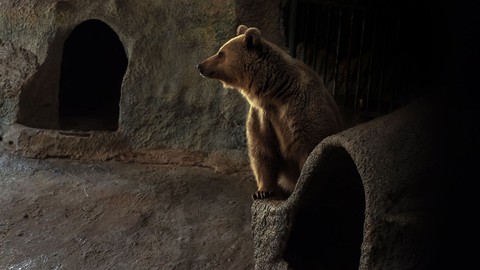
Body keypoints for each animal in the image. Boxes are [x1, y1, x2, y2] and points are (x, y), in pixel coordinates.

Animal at [197, 24, 344, 198]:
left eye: (221, 53)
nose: (200, 65)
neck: (277, 93)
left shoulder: (303, 111)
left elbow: (310, 147)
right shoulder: (262, 116)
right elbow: (262, 151)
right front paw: (262, 191)